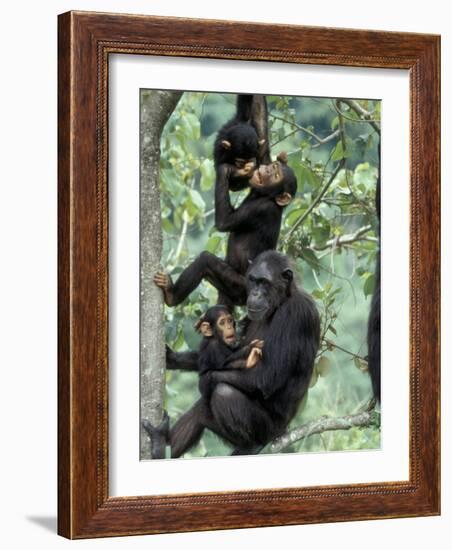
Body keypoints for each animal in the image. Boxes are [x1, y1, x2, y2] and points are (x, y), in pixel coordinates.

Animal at [170, 252, 322, 460]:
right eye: (252, 280)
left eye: (264, 282)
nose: (255, 293)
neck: (280, 302)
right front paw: (171, 358)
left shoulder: (295, 316)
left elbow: (266, 375)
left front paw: (205, 380)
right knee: (200, 411)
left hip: (271, 430)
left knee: (223, 392)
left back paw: (251, 445)